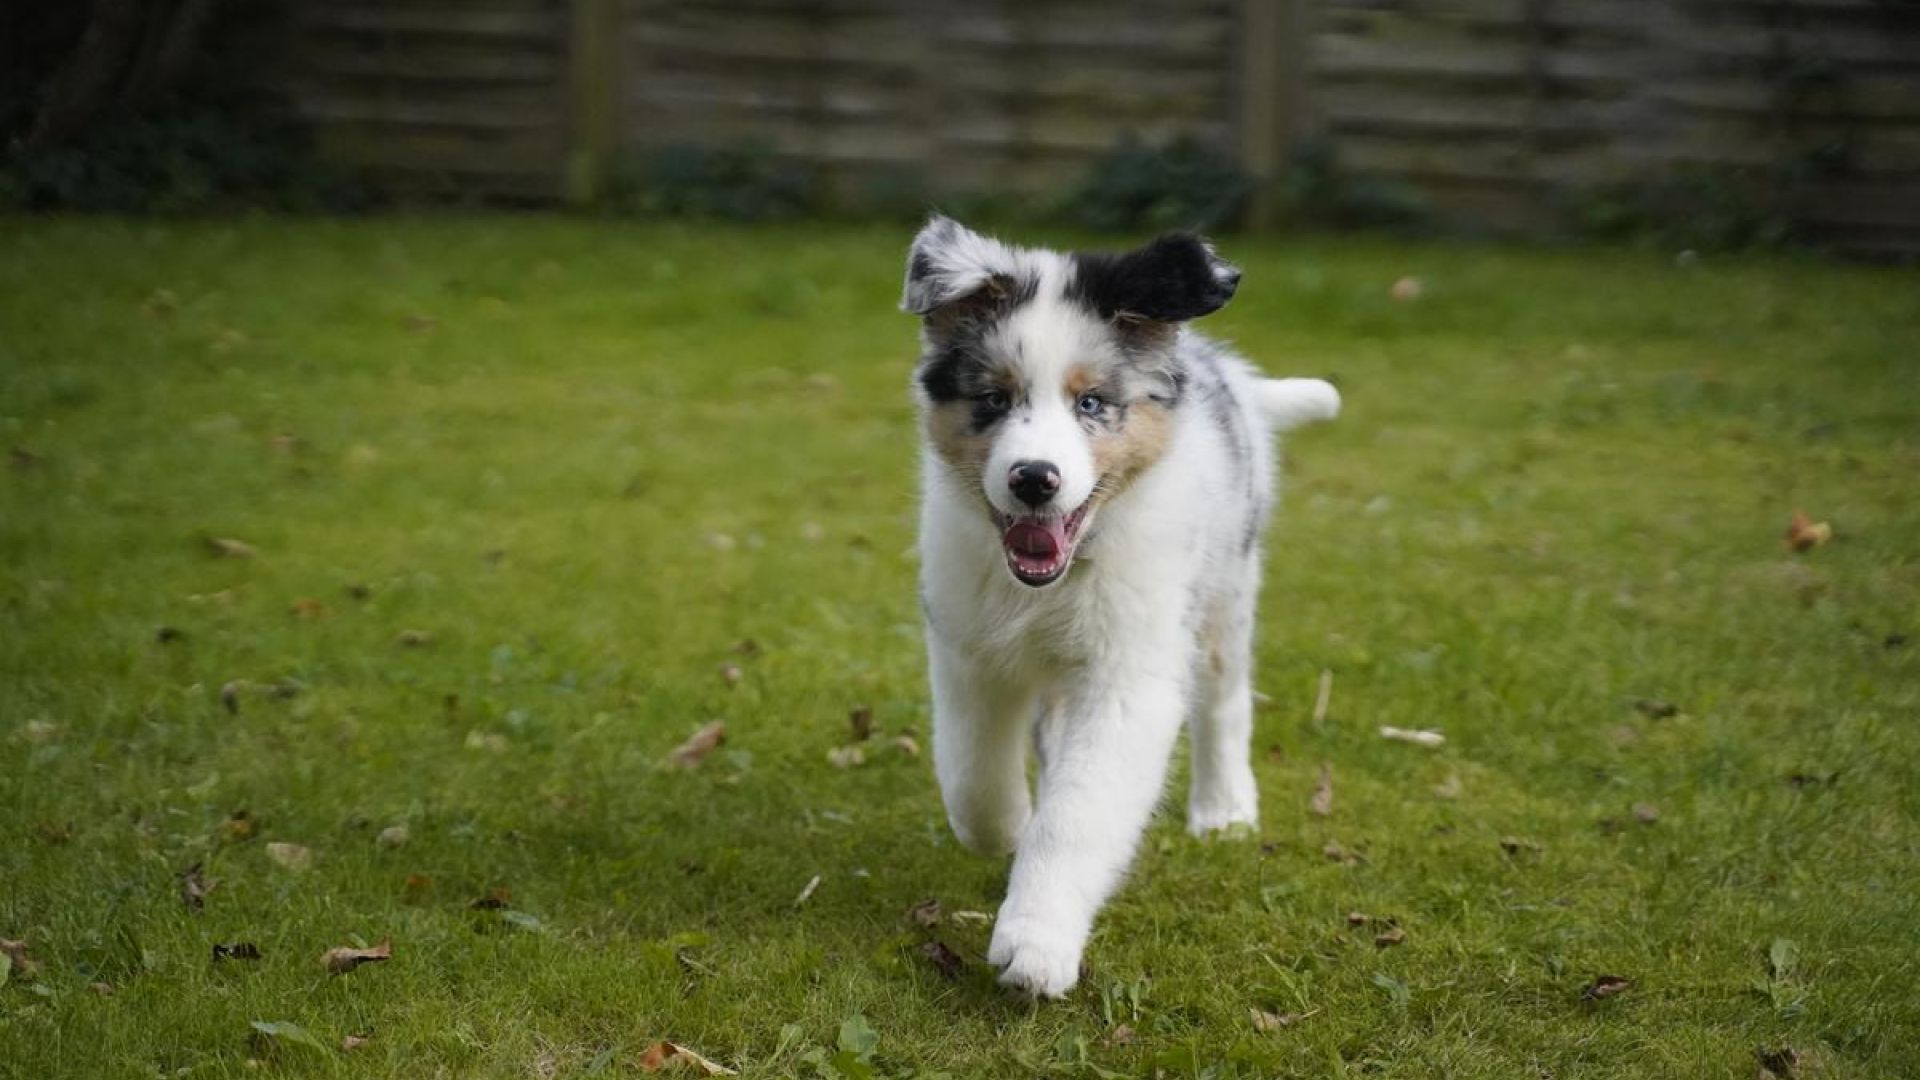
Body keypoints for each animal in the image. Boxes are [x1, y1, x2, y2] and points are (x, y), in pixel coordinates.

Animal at [898, 214, 1336, 999]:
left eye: (1091, 404)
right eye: (994, 400)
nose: (1035, 479)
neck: (1054, 581)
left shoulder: (1130, 674)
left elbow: (1080, 810)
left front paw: (1036, 942)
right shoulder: (968, 650)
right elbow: (974, 780)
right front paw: (1009, 829)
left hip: (1226, 590)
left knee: (1225, 702)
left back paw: (1224, 810)